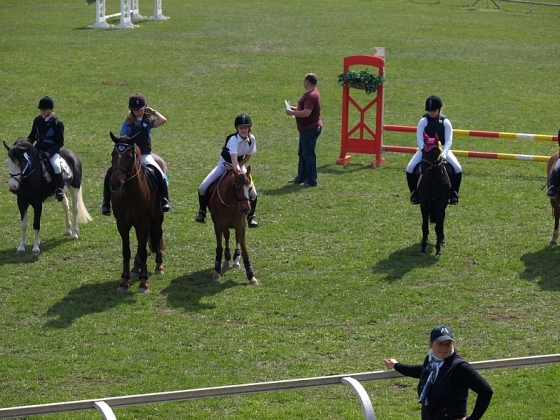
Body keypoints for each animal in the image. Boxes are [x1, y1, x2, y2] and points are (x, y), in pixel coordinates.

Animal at [108, 132, 166, 292]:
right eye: (113, 154)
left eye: (129, 156)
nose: (114, 183)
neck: (130, 193)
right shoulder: (122, 224)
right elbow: (126, 251)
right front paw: (124, 281)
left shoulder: (144, 223)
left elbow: (143, 250)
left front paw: (143, 283)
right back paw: (136, 267)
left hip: (158, 215)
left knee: (157, 233)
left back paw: (159, 265)